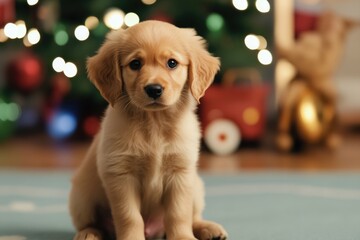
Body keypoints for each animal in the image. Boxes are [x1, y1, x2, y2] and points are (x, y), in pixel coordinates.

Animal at [69, 20, 228, 240]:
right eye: (135, 64)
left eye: (172, 63)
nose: (154, 89)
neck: (154, 123)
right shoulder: (120, 175)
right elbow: (129, 216)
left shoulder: (181, 172)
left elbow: (179, 213)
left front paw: (182, 237)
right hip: (81, 196)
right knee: (91, 223)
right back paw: (89, 233)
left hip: (196, 186)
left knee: (193, 216)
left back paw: (209, 228)